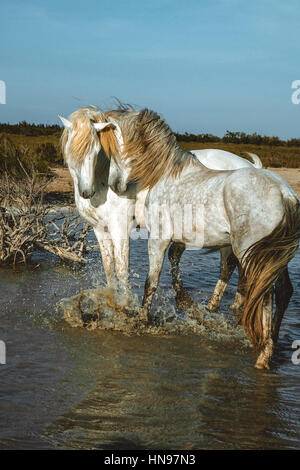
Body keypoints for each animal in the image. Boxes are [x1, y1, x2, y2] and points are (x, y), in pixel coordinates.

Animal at [59, 106, 262, 312]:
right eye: (72, 149)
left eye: (96, 150)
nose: (86, 191)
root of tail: (251, 166)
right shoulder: (100, 229)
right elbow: (109, 269)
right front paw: (112, 301)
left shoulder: (119, 228)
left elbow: (122, 269)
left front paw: (126, 305)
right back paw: (234, 304)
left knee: (228, 265)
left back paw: (216, 305)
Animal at [103, 108, 300, 370]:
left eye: (113, 146)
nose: (115, 185)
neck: (168, 174)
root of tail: (284, 193)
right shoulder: (179, 239)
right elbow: (173, 264)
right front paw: (184, 303)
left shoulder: (158, 238)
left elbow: (151, 281)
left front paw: (142, 319)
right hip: (275, 255)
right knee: (283, 291)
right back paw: (270, 342)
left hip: (252, 254)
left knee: (264, 294)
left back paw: (262, 355)